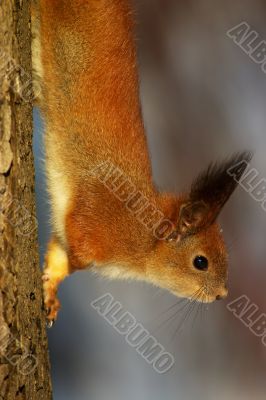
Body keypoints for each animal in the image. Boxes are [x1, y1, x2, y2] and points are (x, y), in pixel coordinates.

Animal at [31, 0, 251, 324]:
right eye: (201, 262)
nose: (222, 294)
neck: (145, 235)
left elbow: (58, 256)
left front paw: (50, 293)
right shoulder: (96, 221)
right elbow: (76, 247)